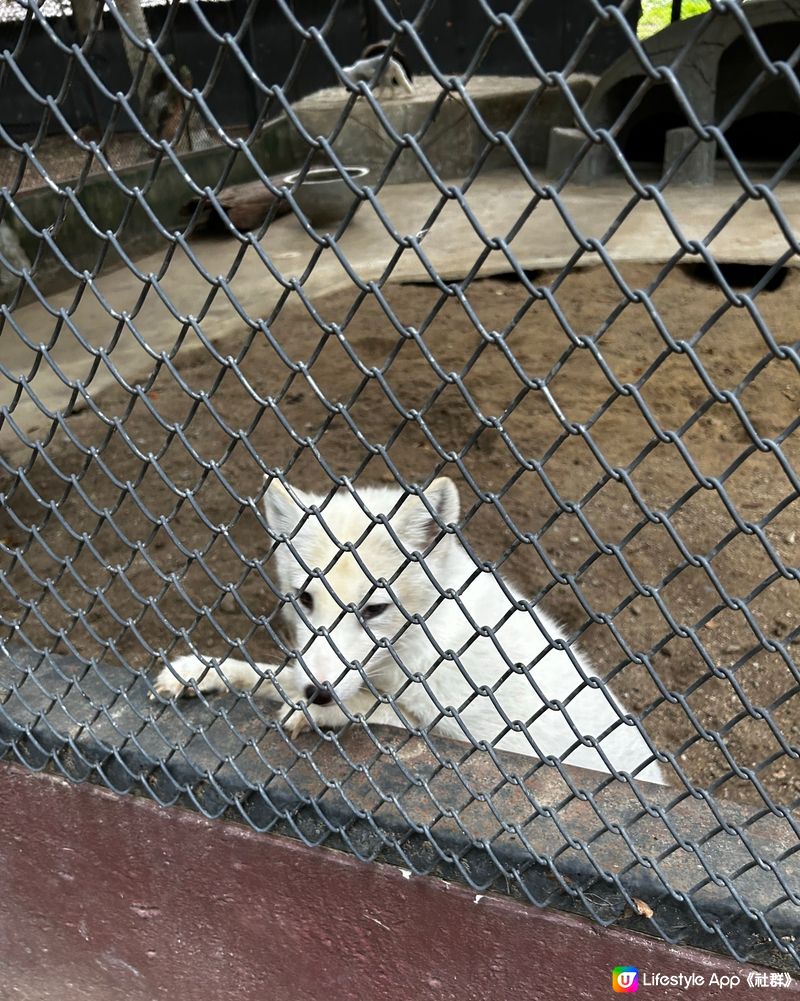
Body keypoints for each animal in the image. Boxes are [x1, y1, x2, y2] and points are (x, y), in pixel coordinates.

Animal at [153, 474, 664, 780]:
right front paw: (203, 671)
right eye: (305, 599)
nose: (319, 692)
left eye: (375, 609)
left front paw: (316, 712)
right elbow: (271, 675)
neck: (421, 644)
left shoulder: (470, 737)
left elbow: (383, 714)